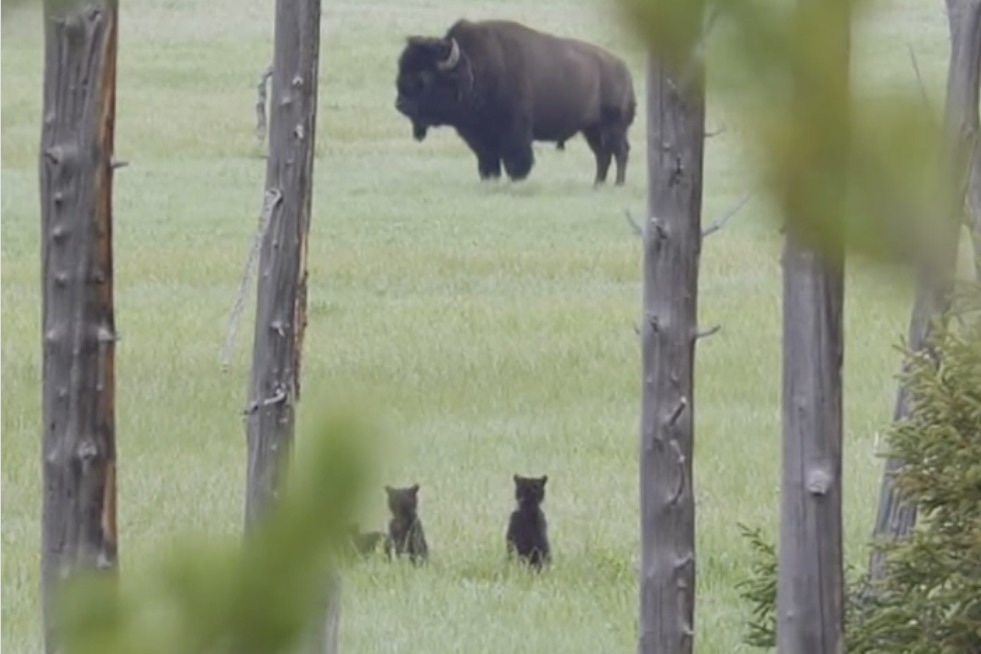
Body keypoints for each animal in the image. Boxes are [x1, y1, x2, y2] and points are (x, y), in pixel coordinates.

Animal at [394, 19, 637, 186]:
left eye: (424, 76)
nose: (400, 104)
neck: (473, 67)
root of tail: (624, 70)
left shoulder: (514, 132)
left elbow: (515, 160)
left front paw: (516, 180)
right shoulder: (480, 139)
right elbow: (488, 163)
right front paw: (490, 180)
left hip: (613, 127)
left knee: (620, 151)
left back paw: (618, 184)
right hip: (591, 130)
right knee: (603, 155)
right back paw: (597, 184)